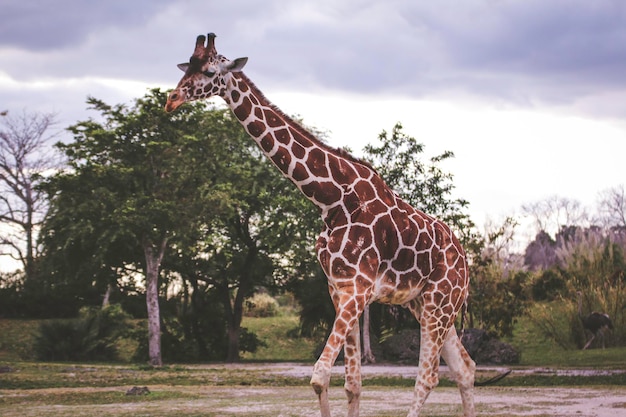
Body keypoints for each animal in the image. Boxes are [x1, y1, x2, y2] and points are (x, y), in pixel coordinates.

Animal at [165, 32, 472, 416]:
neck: (331, 200)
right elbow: (352, 384)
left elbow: (319, 375)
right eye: (185, 66)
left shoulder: (358, 289)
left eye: (209, 70)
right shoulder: (340, 290)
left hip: (440, 302)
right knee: (465, 368)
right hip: (424, 303)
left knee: (428, 378)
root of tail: (466, 261)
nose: (171, 99)